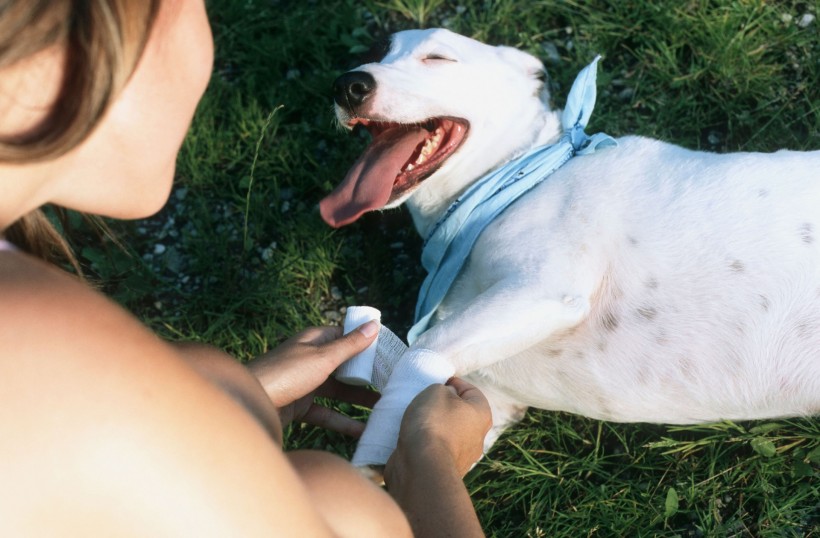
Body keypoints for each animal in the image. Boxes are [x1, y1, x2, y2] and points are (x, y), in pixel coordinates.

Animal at [318, 27, 820, 458]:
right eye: (379, 51)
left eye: (437, 58)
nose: (348, 84)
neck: (513, 177)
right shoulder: (485, 403)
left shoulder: (543, 289)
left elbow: (420, 349)